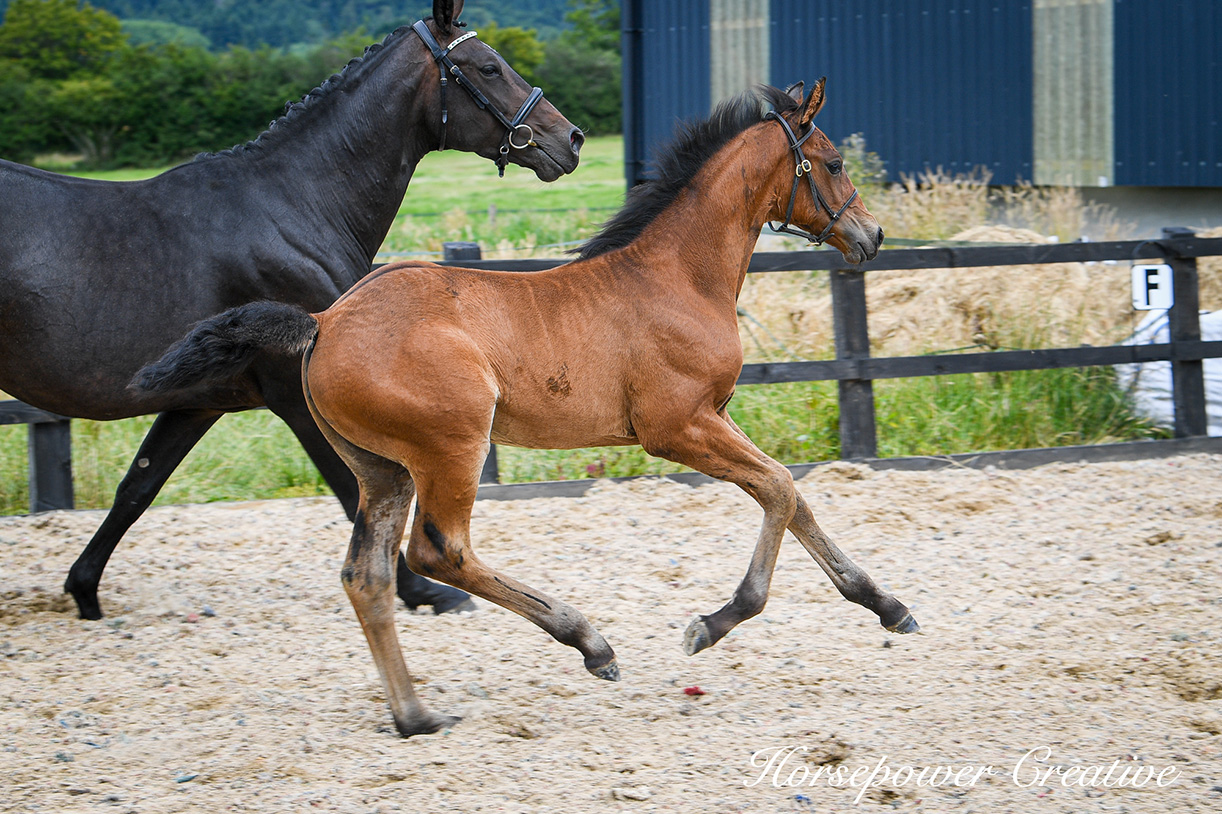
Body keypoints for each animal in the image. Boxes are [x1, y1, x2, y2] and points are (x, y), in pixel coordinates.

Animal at [0, 0, 581, 618]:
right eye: (489, 67)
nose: (571, 139)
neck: (294, 209)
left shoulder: (196, 402)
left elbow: (137, 487)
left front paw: (84, 590)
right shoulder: (299, 399)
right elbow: (359, 494)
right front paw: (424, 590)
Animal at [133, 80, 918, 733]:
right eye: (834, 163)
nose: (872, 236)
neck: (675, 277)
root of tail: (323, 322)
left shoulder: (715, 417)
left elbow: (792, 496)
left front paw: (887, 605)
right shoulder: (676, 428)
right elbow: (780, 489)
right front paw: (714, 621)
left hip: (381, 470)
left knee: (368, 576)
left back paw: (416, 715)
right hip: (453, 446)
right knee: (439, 551)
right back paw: (589, 641)